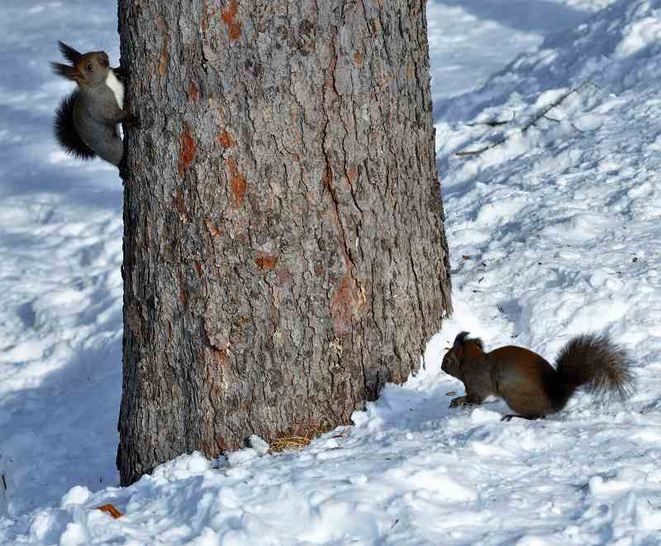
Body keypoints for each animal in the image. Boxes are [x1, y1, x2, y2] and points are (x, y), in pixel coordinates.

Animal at [440, 330, 632, 418]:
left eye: (447, 360)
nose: (441, 367)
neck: (472, 362)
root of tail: (553, 403)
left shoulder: (478, 383)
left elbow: (474, 399)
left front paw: (457, 401)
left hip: (515, 395)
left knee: (535, 416)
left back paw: (513, 416)